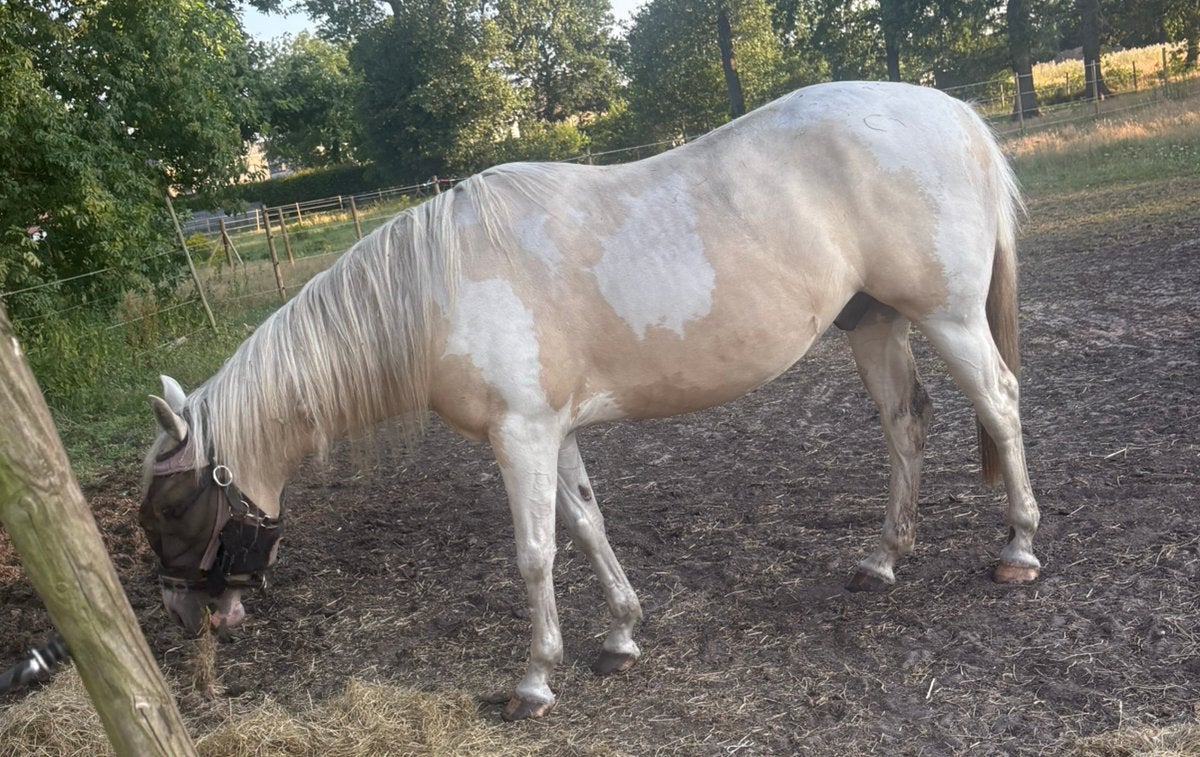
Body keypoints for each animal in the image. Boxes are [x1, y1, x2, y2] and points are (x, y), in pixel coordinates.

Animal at [140, 80, 1041, 721]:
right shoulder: (553, 433)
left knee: (999, 403)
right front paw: (620, 634)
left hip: (949, 318)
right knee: (905, 424)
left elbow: (535, 553)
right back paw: (885, 556)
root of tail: (957, 112)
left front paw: (535, 679)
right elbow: (586, 523)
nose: (185, 616)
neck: (439, 289)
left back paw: (1018, 548)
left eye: (169, 508)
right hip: (875, 322)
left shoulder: (519, 437)